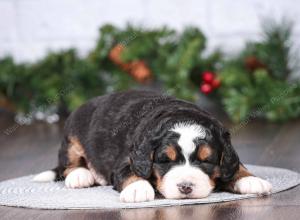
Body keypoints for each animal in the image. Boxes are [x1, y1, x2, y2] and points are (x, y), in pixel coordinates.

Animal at [34, 90, 274, 202]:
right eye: (165, 160)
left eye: (206, 160)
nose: (185, 187)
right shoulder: (128, 159)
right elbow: (130, 172)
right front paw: (138, 189)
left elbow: (235, 166)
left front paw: (251, 179)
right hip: (72, 136)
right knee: (68, 164)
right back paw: (80, 176)